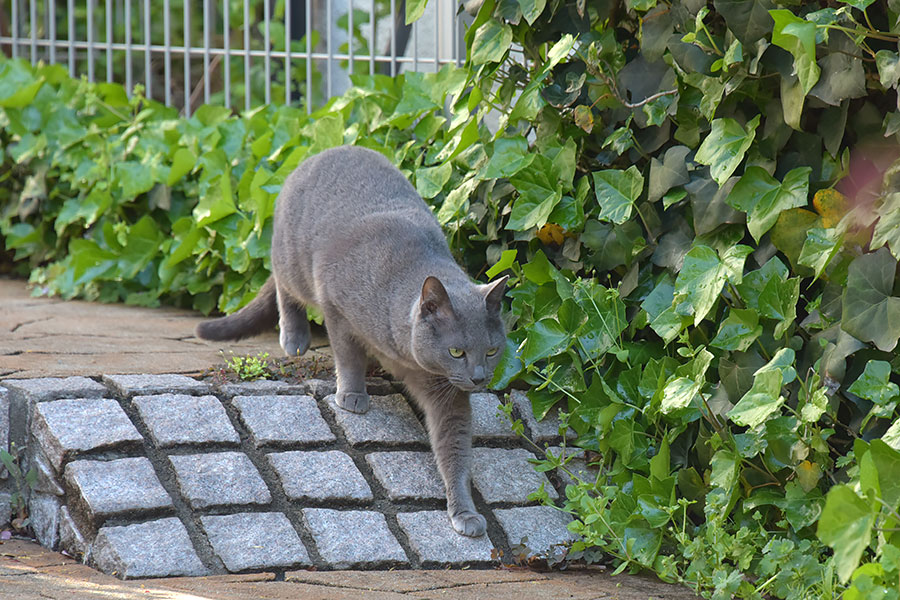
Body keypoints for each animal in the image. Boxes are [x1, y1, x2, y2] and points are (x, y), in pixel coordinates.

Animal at [196, 146, 506, 540]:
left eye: (492, 351)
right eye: (457, 351)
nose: (480, 378)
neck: (405, 354)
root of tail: (323, 152)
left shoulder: (446, 391)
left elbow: (455, 446)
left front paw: (464, 512)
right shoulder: (337, 308)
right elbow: (347, 355)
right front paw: (353, 396)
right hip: (295, 264)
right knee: (282, 285)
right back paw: (294, 338)